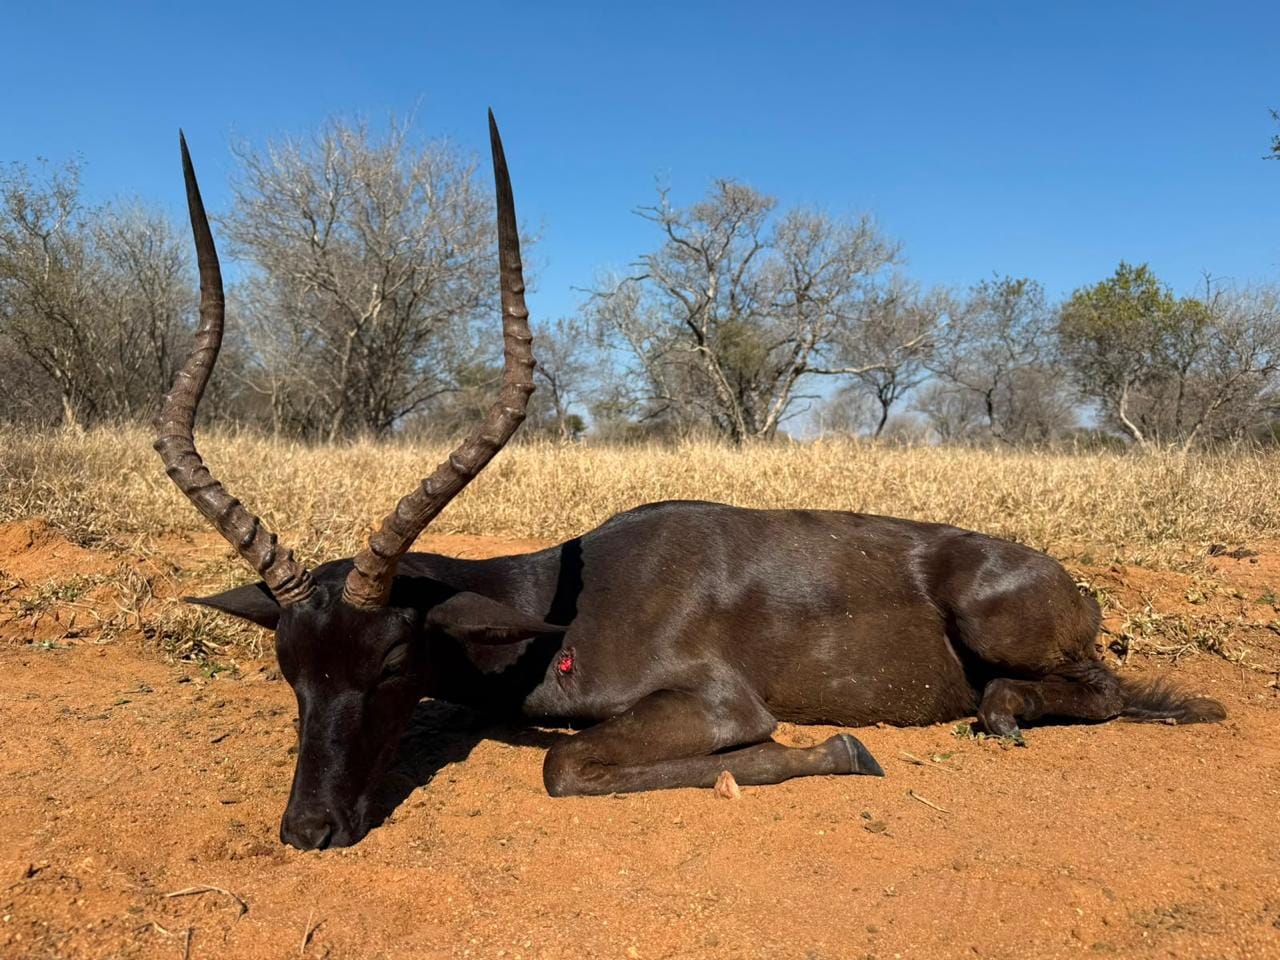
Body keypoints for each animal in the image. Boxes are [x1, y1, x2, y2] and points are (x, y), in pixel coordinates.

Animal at [158, 114, 1226, 851]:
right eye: (291, 668)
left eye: (386, 663)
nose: (309, 831)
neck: (557, 607)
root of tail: (1069, 582)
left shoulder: (713, 704)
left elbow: (565, 763)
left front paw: (834, 751)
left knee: (1103, 693)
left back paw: (1002, 713)